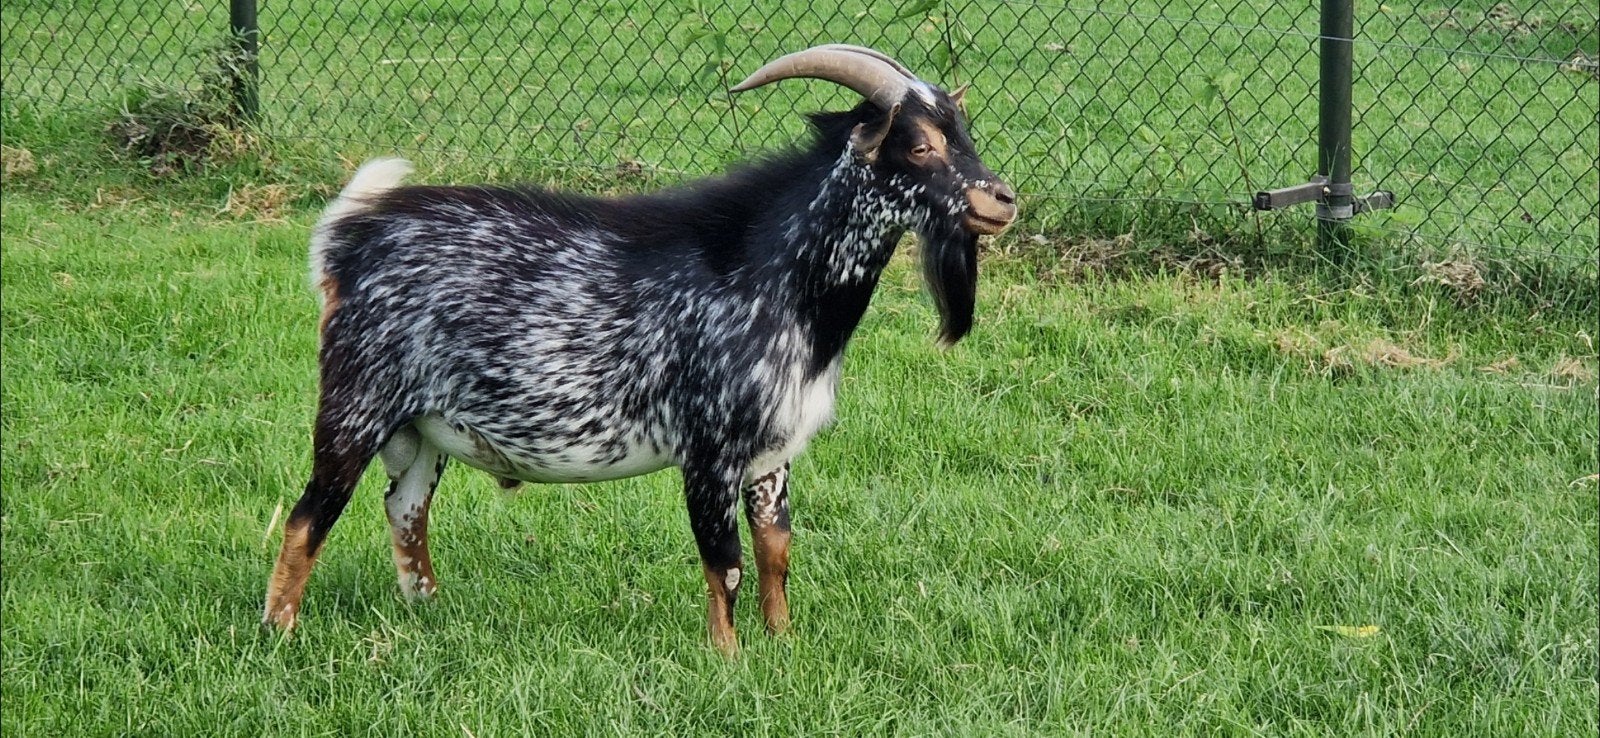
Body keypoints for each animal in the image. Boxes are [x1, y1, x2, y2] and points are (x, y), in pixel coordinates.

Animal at [263, 44, 1017, 655]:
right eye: (918, 146)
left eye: (962, 133)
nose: (1003, 201)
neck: (773, 276)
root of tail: (349, 239)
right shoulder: (710, 451)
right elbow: (725, 561)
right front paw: (729, 661)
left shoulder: (774, 451)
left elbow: (776, 552)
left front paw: (784, 645)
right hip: (359, 400)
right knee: (310, 515)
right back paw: (281, 631)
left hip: (424, 429)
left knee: (405, 505)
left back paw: (428, 609)